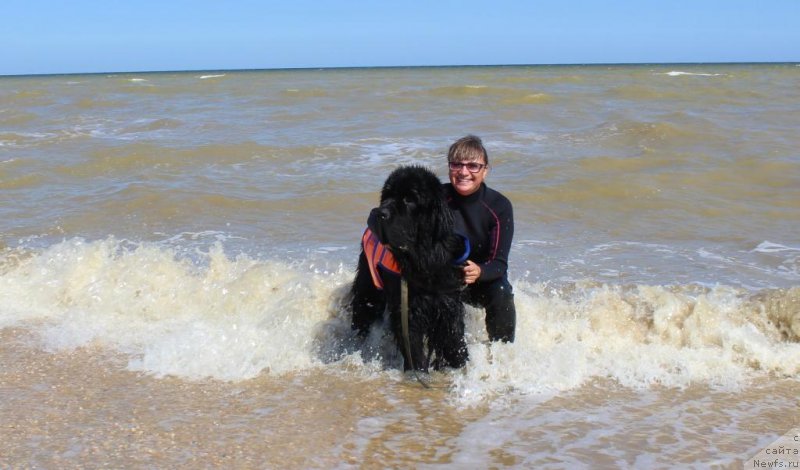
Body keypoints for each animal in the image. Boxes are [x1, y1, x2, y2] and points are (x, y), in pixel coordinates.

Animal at [350, 165, 468, 370]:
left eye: (409, 199)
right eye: (387, 196)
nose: (378, 213)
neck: (423, 258)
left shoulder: (448, 302)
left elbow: (453, 340)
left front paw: (460, 367)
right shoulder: (408, 309)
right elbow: (413, 347)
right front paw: (417, 372)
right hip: (368, 287)